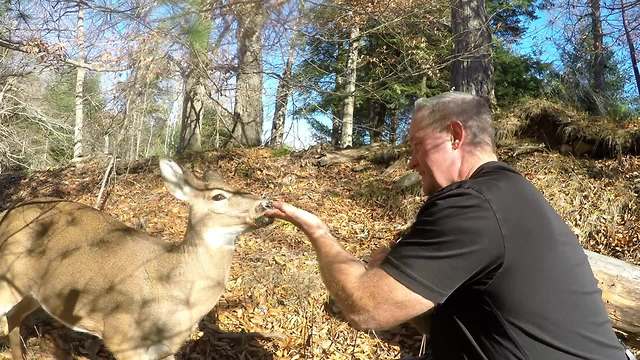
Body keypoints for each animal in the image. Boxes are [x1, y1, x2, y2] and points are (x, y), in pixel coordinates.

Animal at [0, 159, 272, 358]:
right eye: (218, 196)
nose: (266, 202)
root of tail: (7, 214)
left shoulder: (165, 349)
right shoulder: (122, 336)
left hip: (33, 291)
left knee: (14, 316)